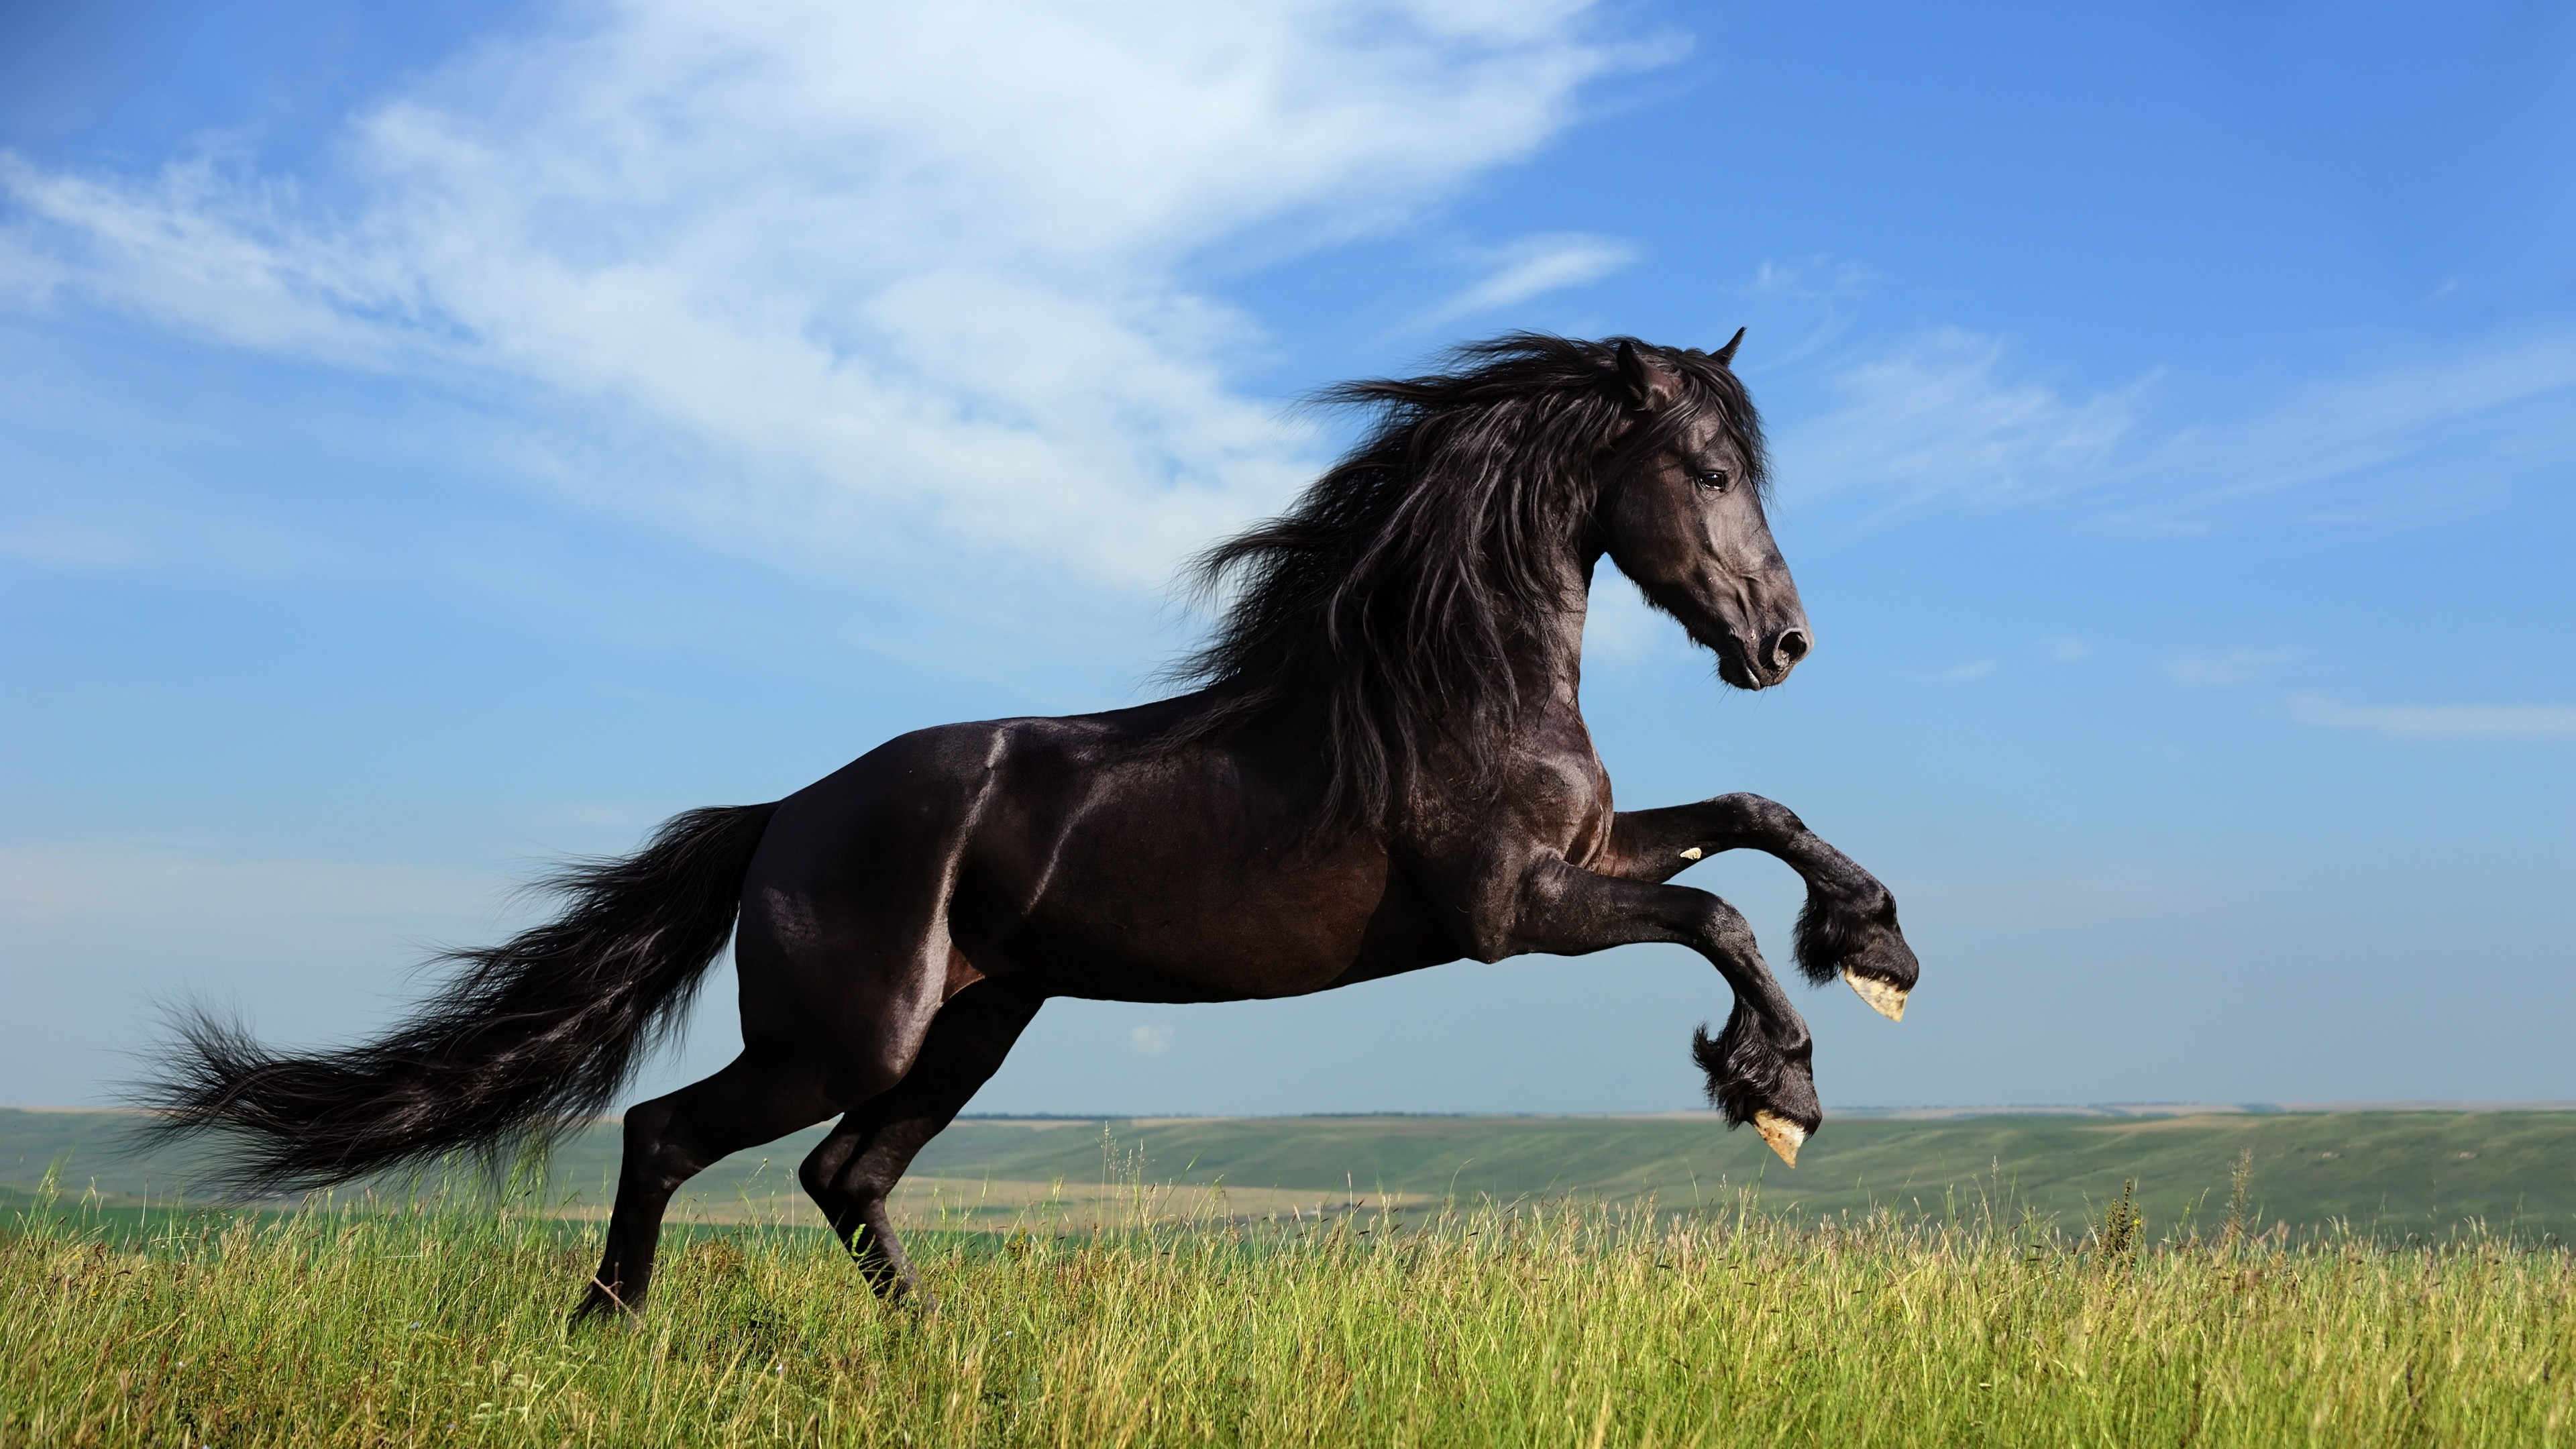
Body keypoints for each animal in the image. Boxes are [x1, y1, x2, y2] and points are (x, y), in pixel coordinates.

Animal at [141, 332, 1922, 1318]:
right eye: (1705, 469)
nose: (1781, 643)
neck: (1445, 681)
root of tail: (781, 817)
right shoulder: (1511, 909)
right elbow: (1714, 914)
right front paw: (1777, 1086)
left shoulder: (1586, 856)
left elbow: (1753, 817)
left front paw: (1877, 948)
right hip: (847, 1032)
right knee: (672, 1136)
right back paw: (608, 1330)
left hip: (976, 1025)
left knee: (844, 1175)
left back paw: (930, 1349)